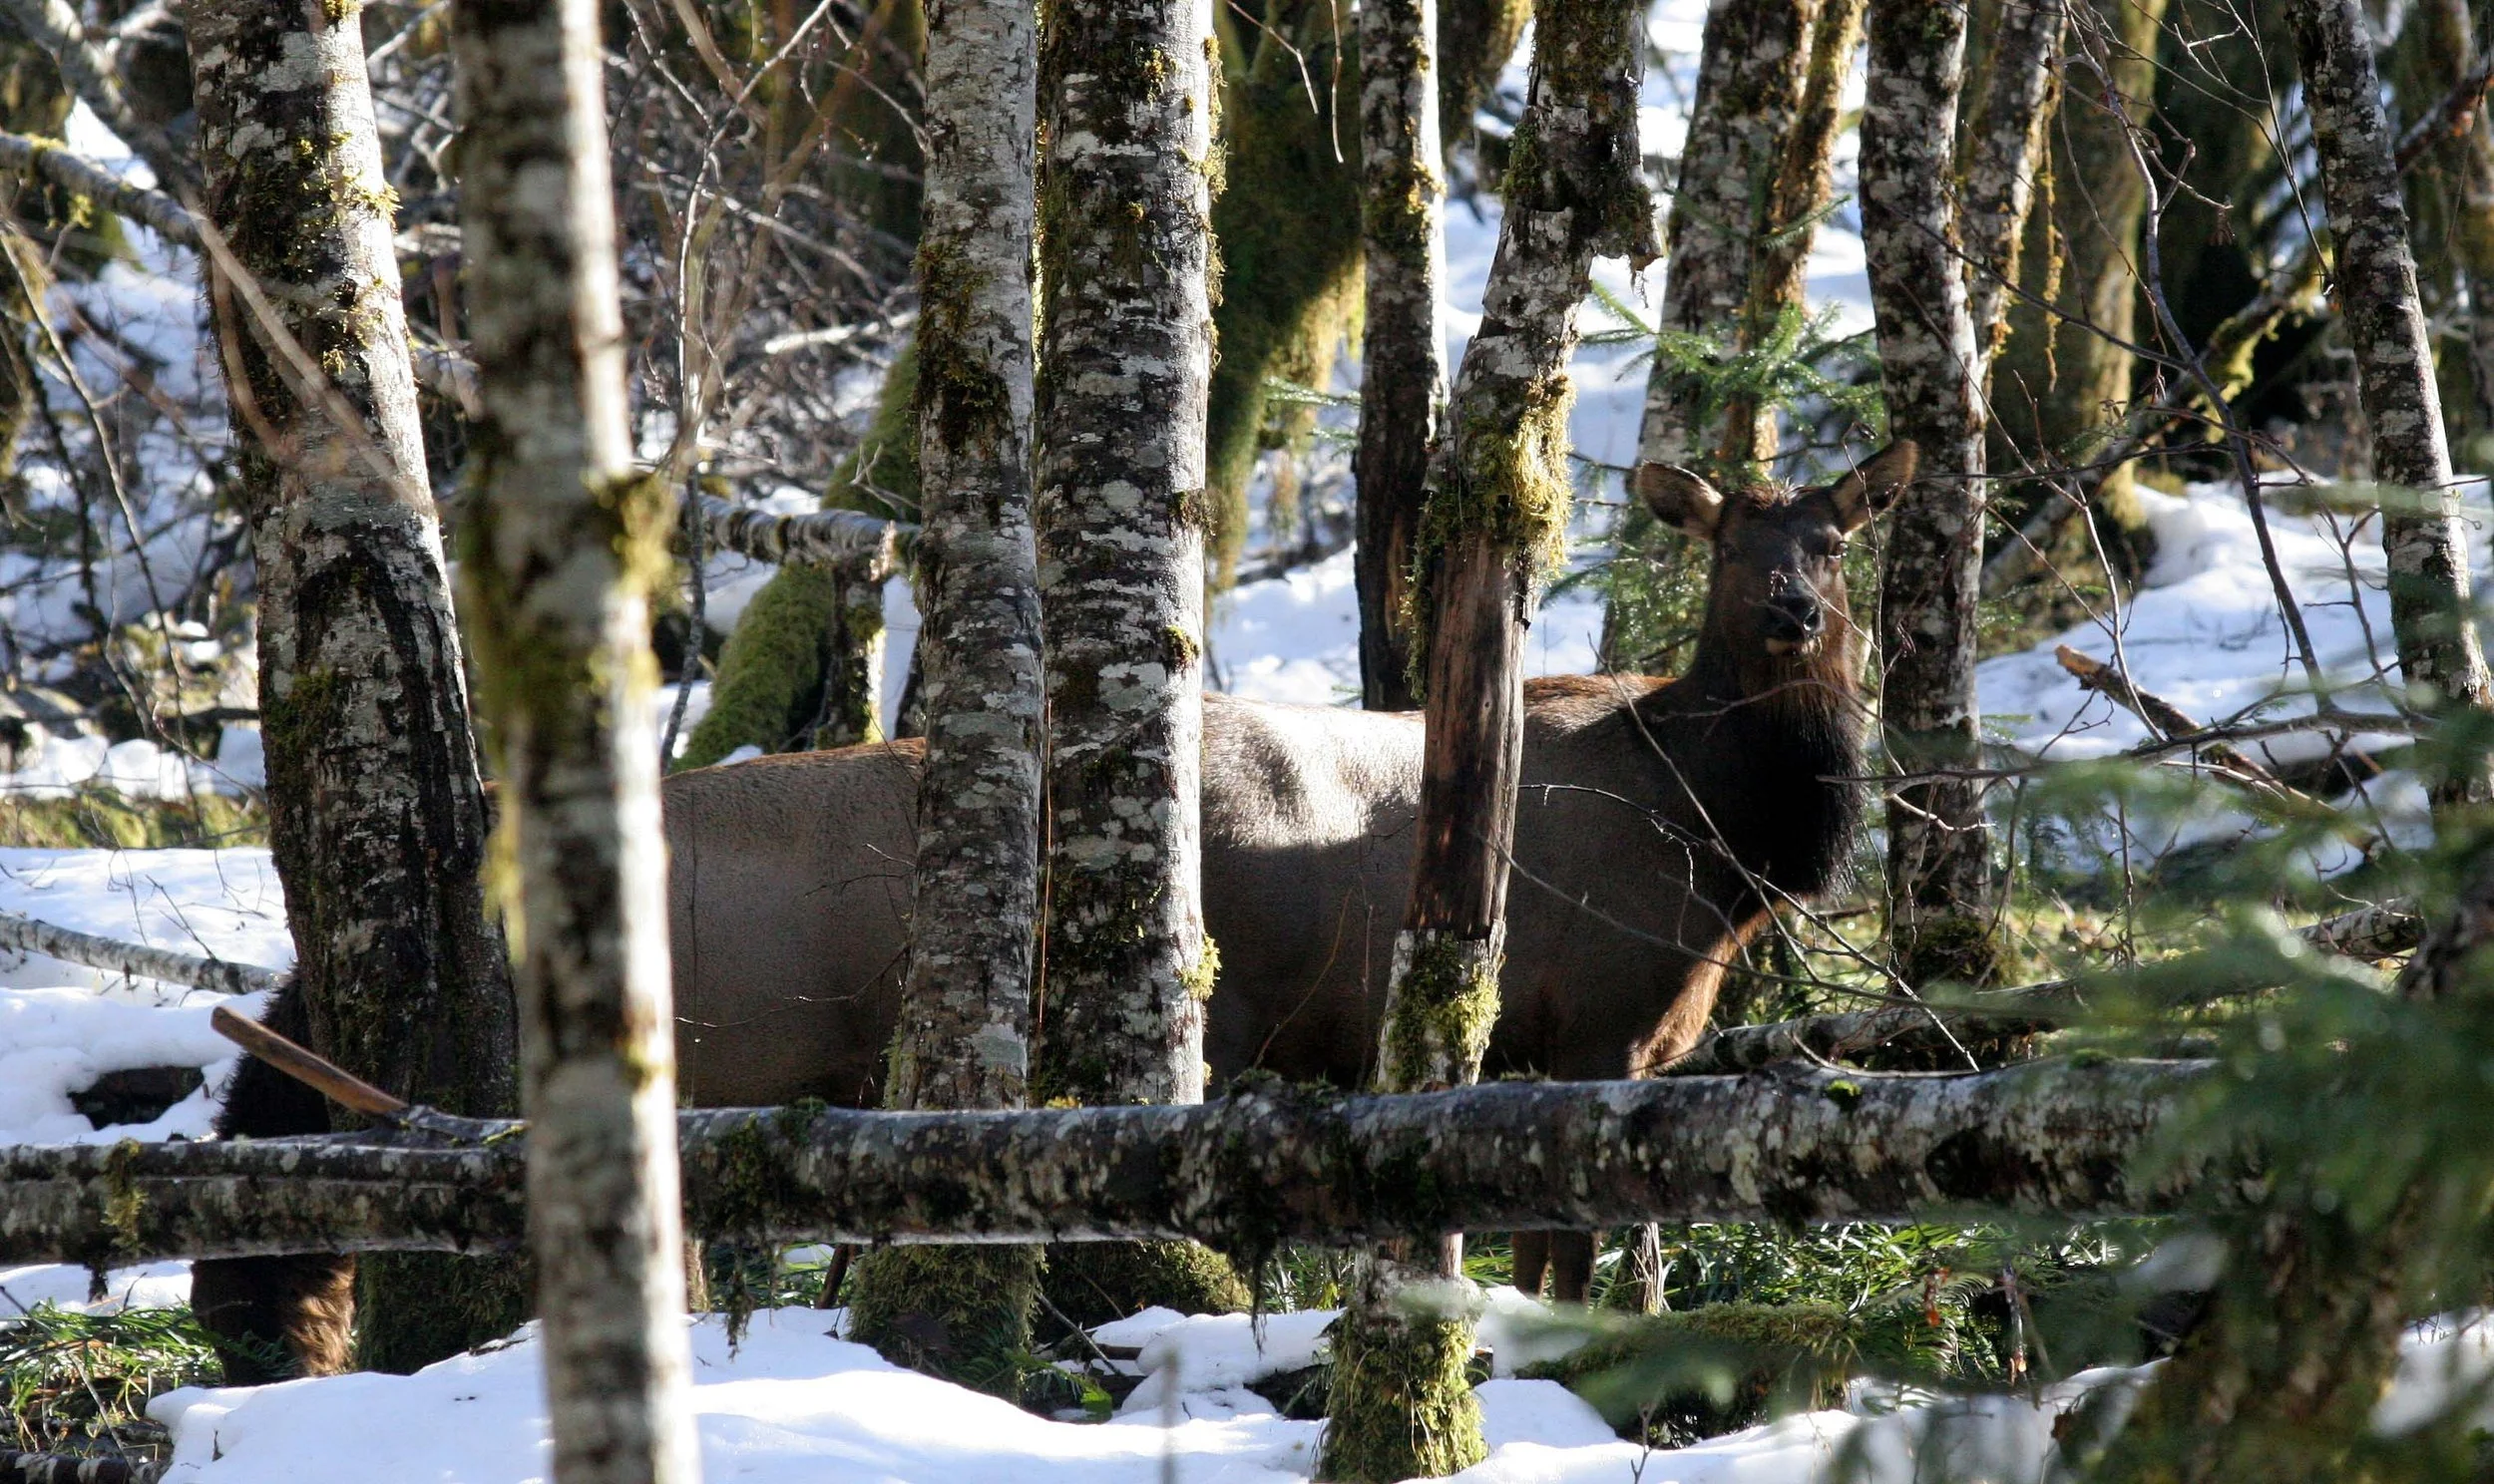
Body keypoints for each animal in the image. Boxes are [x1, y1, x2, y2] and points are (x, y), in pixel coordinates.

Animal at [193, 443, 1910, 1378]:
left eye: (1834, 535)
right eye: (1732, 540)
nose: (1791, 612)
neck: (1729, 843)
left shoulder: (1612, 1039)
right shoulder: (1599, 1024)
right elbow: (1582, 1257)